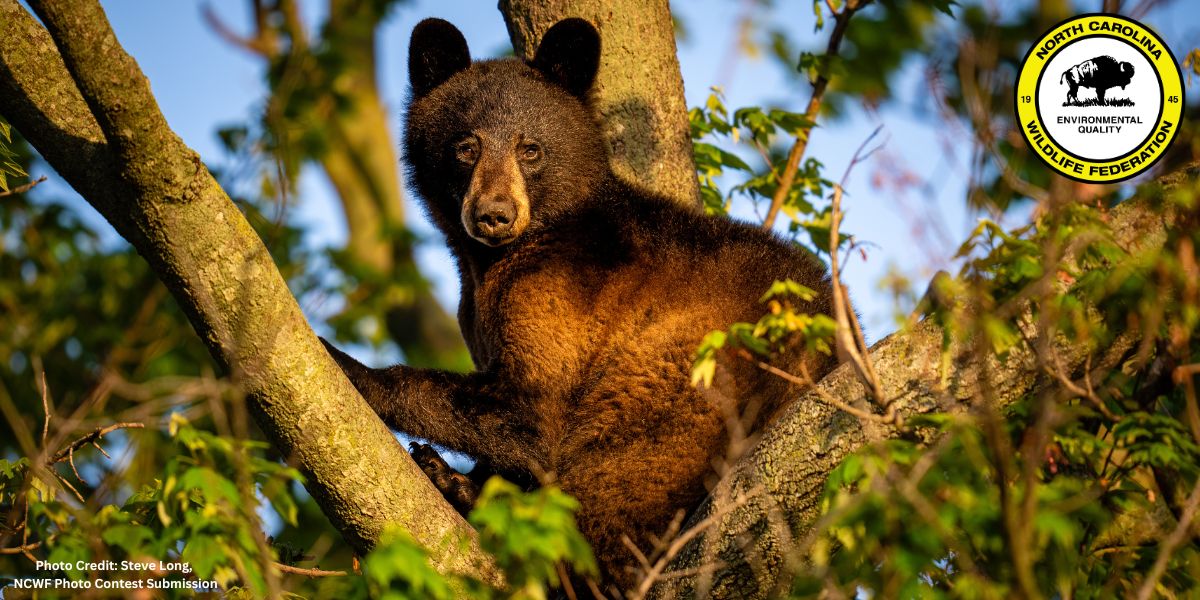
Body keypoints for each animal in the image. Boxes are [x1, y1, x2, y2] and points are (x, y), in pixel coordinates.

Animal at [324, 16, 840, 588]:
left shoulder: (557, 292)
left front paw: (350, 368)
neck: (494, 264)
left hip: (680, 395)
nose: (494, 214)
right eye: (466, 146)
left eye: (530, 148)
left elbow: (533, 415)